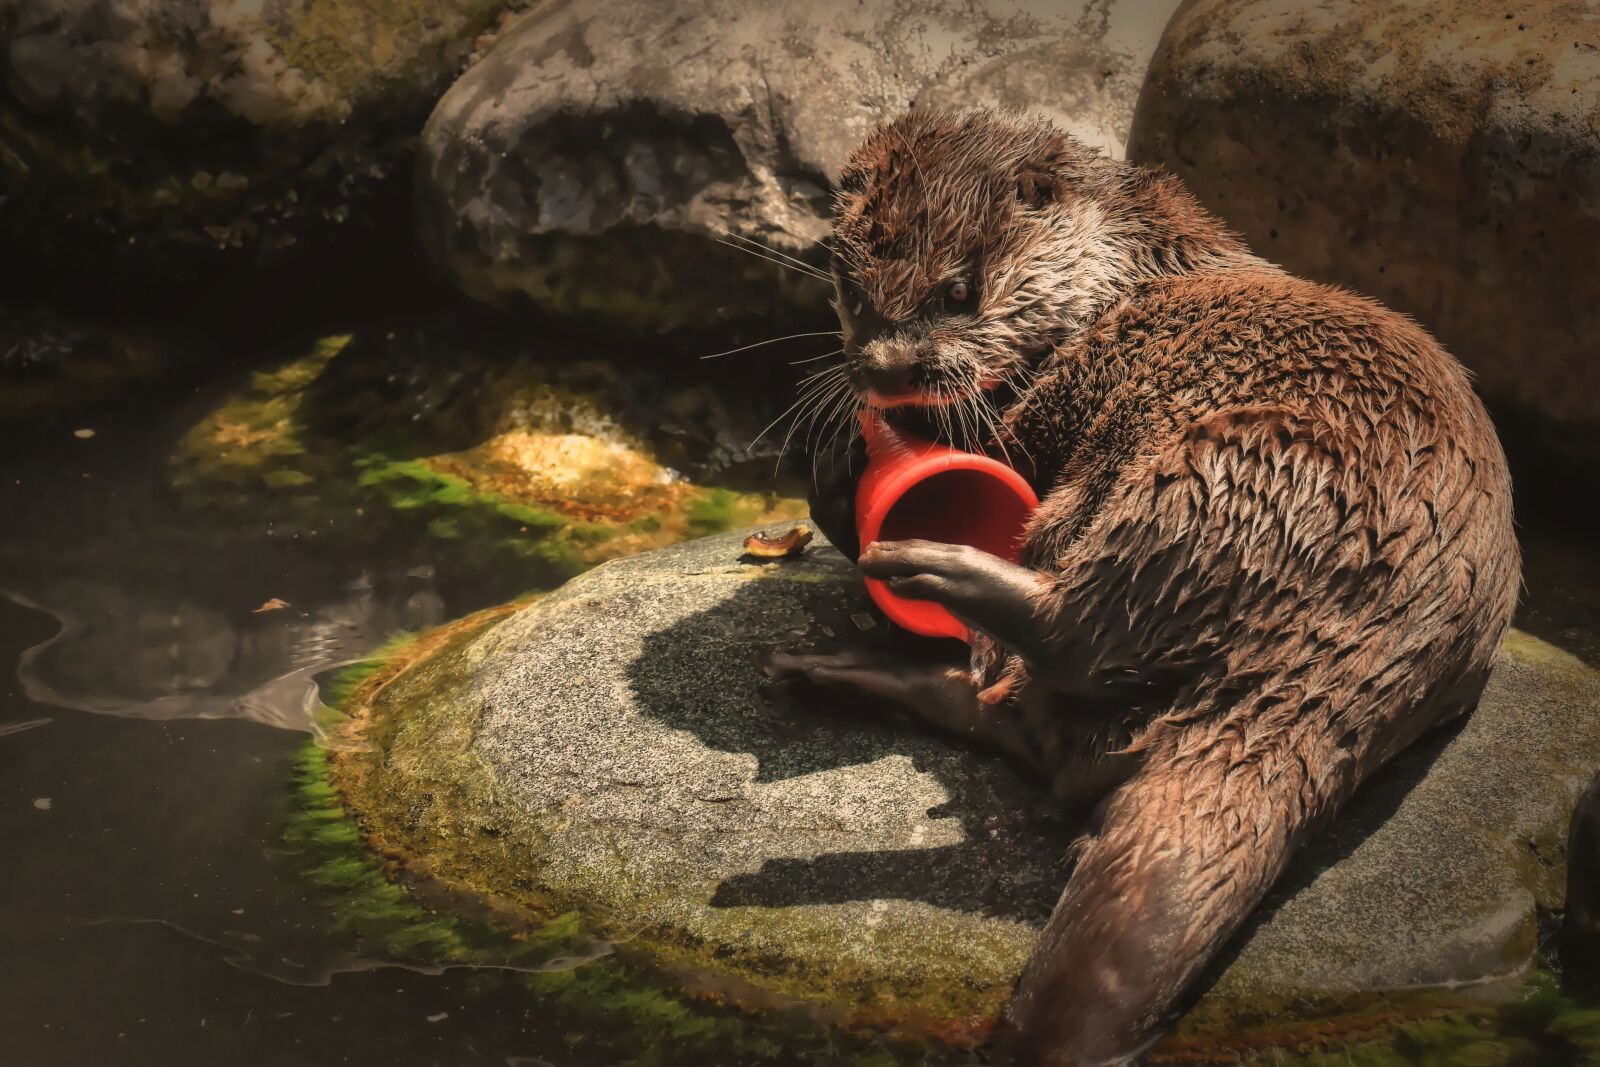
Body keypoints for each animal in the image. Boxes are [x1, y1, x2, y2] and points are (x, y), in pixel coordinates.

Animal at [765, 108, 1520, 1064]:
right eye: (851, 289)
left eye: (958, 291)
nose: (887, 369)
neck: (1128, 283)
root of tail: (1366, 649)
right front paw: (833, 466)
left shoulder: (1077, 378)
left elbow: (1013, 438)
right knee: (1045, 735)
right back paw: (845, 667)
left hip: (1234, 471)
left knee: (1080, 631)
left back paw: (930, 567)